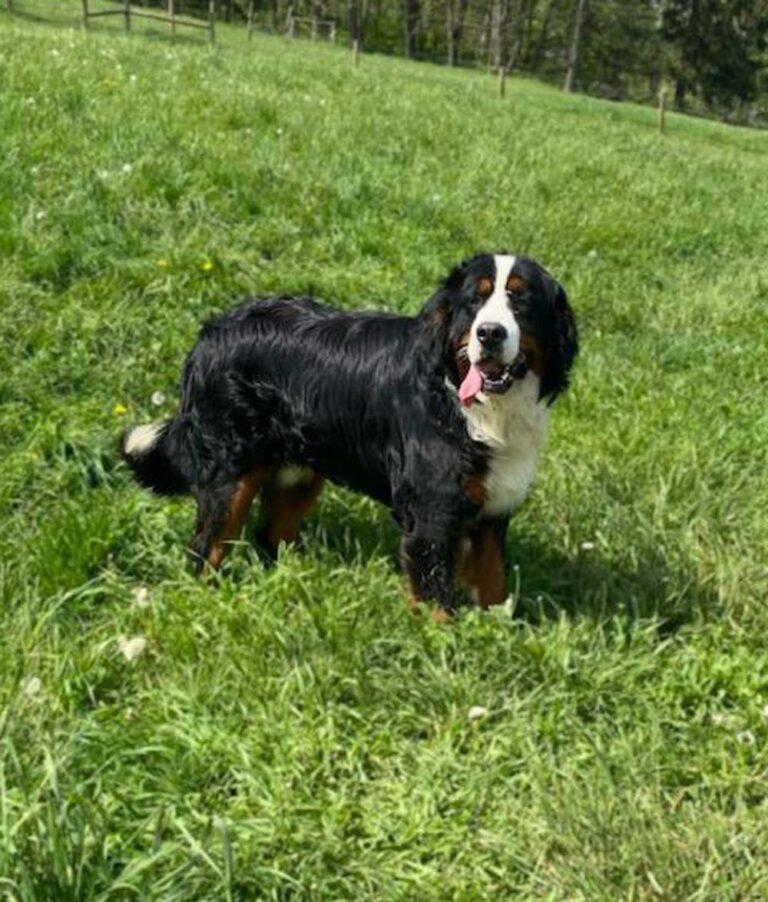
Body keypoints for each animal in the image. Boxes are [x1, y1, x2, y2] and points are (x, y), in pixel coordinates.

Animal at [120, 253, 577, 616]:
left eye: (521, 300)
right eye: (474, 302)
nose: (490, 333)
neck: (478, 410)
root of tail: (211, 331)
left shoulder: (492, 509)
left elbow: (494, 581)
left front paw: (499, 631)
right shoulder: (432, 512)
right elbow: (434, 594)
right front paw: (443, 646)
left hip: (298, 473)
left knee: (270, 534)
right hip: (229, 474)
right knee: (206, 546)